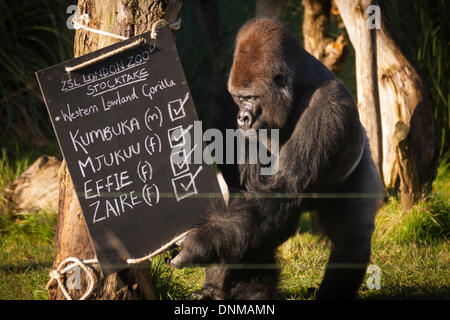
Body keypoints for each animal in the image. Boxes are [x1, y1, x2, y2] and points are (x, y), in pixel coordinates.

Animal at [169, 16, 384, 298]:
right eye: (238, 97)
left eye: (252, 97)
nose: (242, 117)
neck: (298, 83)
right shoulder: (222, 98)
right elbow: (243, 200)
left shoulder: (329, 105)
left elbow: (284, 190)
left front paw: (198, 244)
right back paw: (227, 290)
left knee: (351, 241)